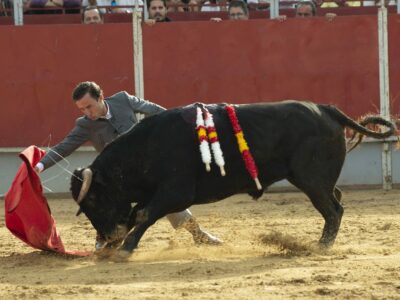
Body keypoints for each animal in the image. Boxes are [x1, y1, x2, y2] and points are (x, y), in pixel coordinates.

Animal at [70, 101, 396, 255]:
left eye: (94, 200)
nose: (108, 238)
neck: (148, 146)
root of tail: (327, 109)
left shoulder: (176, 192)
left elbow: (144, 214)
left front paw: (125, 249)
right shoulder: (162, 194)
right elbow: (140, 212)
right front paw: (119, 247)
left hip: (311, 179)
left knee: (333, 209)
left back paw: (321, 246)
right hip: (314, 180)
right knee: (336, 199)